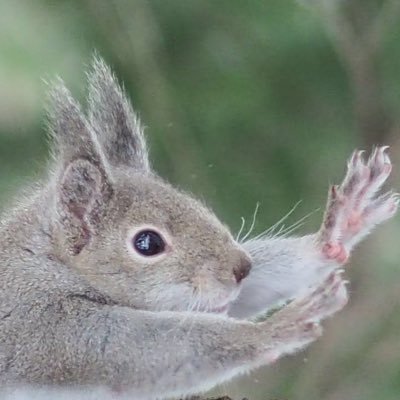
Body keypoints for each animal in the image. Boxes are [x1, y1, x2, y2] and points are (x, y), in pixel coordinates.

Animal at [0, 57, 398, 400]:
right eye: (147, 243)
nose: (242, 268)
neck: (51, 260)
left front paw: (337, 230)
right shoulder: (47, 328)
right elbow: (132, 351)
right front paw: (272, 330)